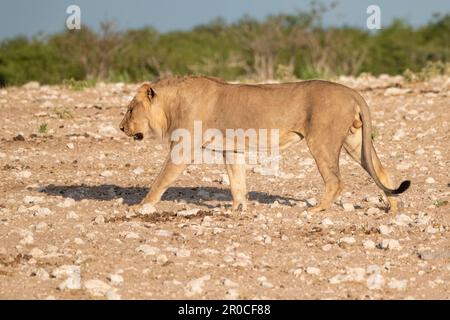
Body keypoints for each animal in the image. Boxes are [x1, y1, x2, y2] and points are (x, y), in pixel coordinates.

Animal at [119, 76, 412, 214]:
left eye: (130, 109)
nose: (121, 128)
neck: (172, 105)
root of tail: (353, 91)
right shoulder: (231, 149)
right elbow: (237, 181)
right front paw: (238, 208)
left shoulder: (183, 148)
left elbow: (160, 180)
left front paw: (140, 205)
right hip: (355, 141)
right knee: (381, 171)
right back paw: (393, 208)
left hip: (321, 140)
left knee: (336, 180)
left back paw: (317, 209)